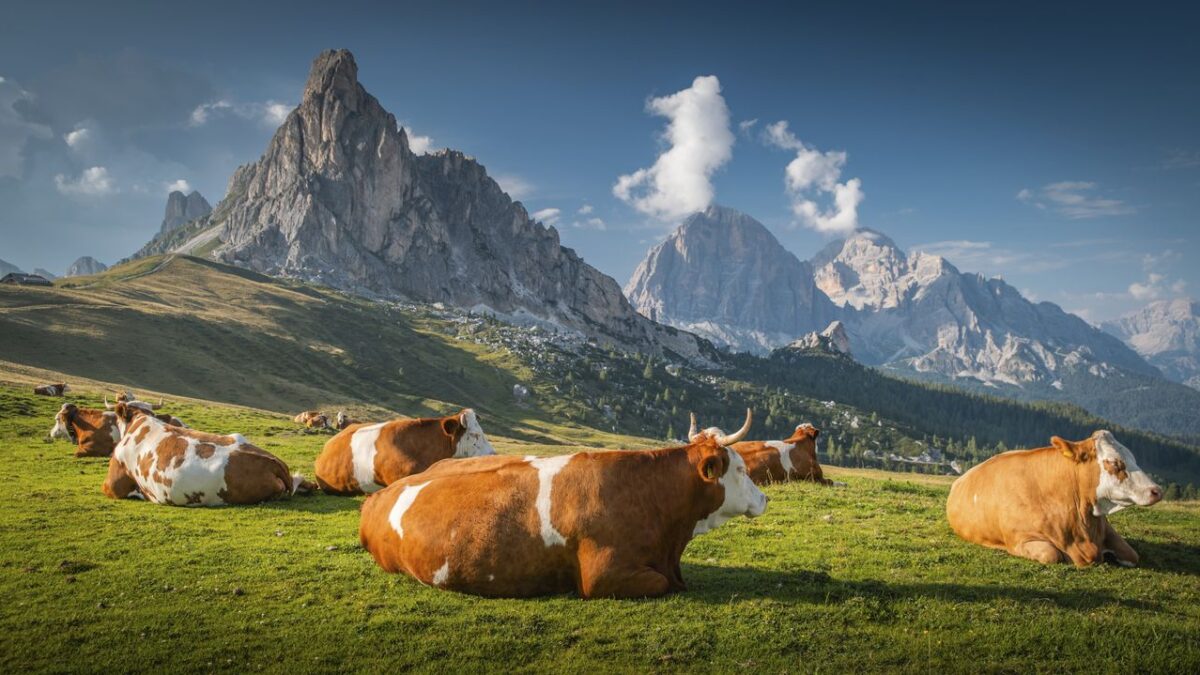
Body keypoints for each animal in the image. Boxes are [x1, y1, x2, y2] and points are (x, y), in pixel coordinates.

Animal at [946, 430, 1163, 567]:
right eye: (1115, 463)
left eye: (1133, 458)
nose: (1157, 491)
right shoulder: (1020, 539)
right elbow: (1051, 554)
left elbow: (1132, 555)